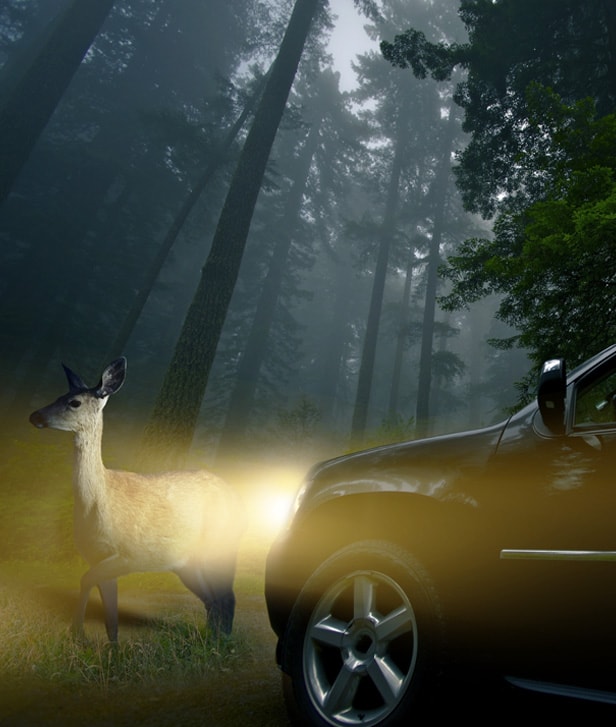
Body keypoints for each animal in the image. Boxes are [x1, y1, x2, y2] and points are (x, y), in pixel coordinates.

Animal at [29, 357, 243, 641]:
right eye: (58, 395)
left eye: (74, 402)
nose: (35, 415)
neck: (97, 501)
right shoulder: (97, 556)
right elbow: (109, 614)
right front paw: (101, 644)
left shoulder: (128, 554)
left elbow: (85, 580)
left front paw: (78, 633)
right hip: (186, 564)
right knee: (211, 599)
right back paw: (209, 639)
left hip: (221, 547)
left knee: (227, 597)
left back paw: (222, 643)